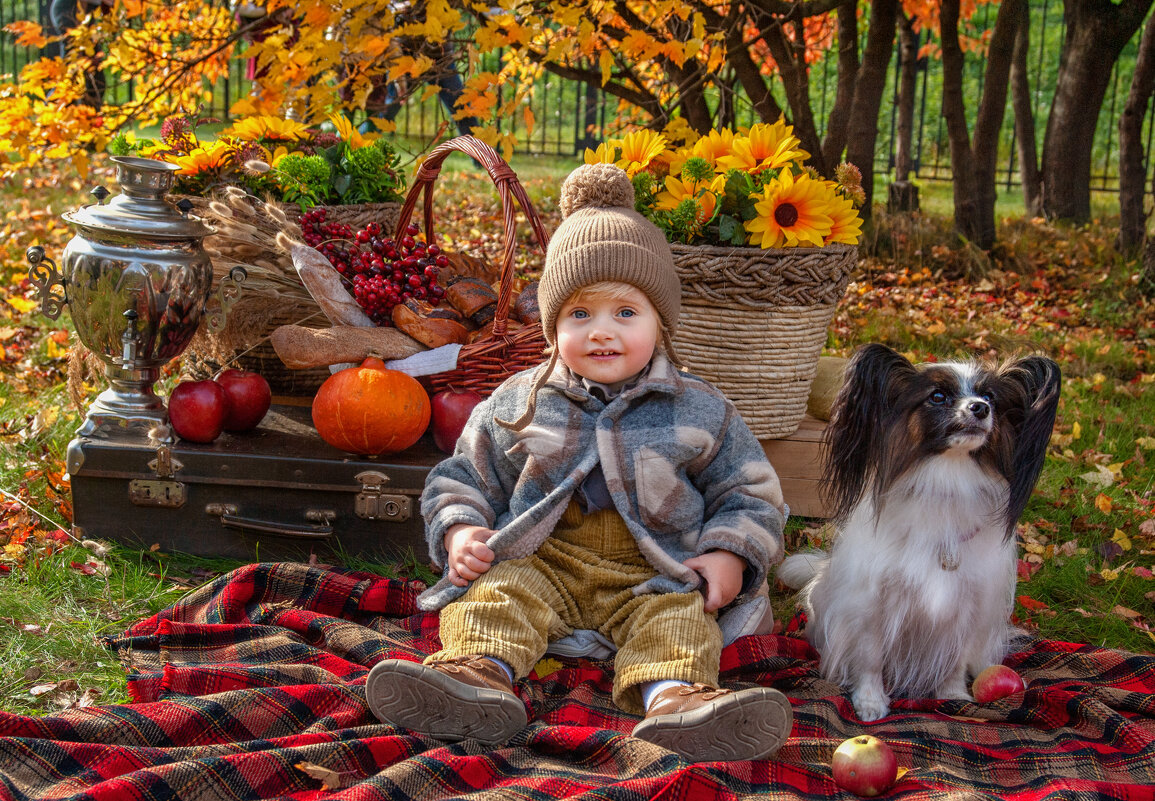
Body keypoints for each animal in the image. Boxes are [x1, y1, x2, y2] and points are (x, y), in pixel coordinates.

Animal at [780, 343, 1057, 720]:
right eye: (937, 397)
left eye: (990, 397)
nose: (980, 408)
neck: (949, 477)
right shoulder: (874, 602)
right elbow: (870, 657)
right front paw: (870, 701)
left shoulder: (966, 602)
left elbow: (955, 659)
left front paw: (953, 696)